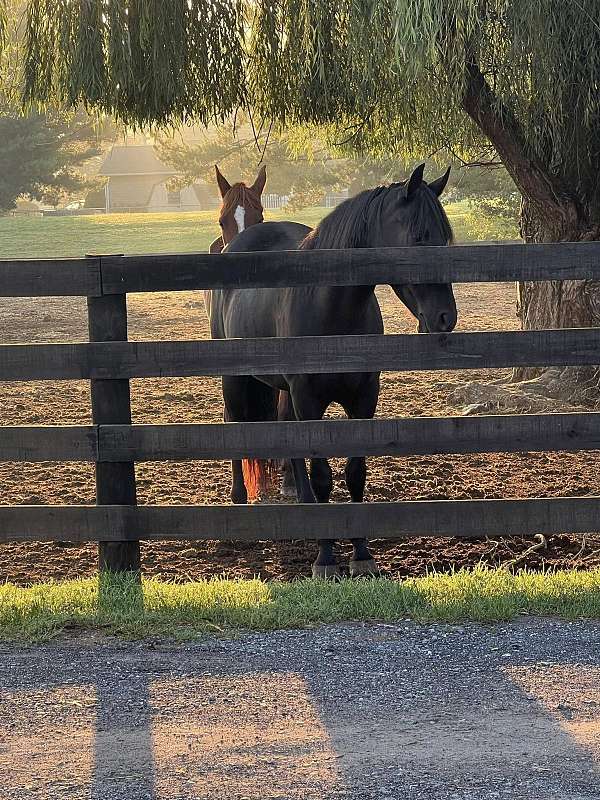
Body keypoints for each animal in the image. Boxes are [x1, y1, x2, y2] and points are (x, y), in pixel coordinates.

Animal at [204, 164, 458, 576]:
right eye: (419, 237)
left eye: (446, 239)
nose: (444, 317)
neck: (331, 310)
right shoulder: (309, 399)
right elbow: (323, 476)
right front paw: (325, 557)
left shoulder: (363, 399)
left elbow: (355, 474)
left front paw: (362, 555)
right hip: (236, 380)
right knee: (236, 427)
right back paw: (240, 507)